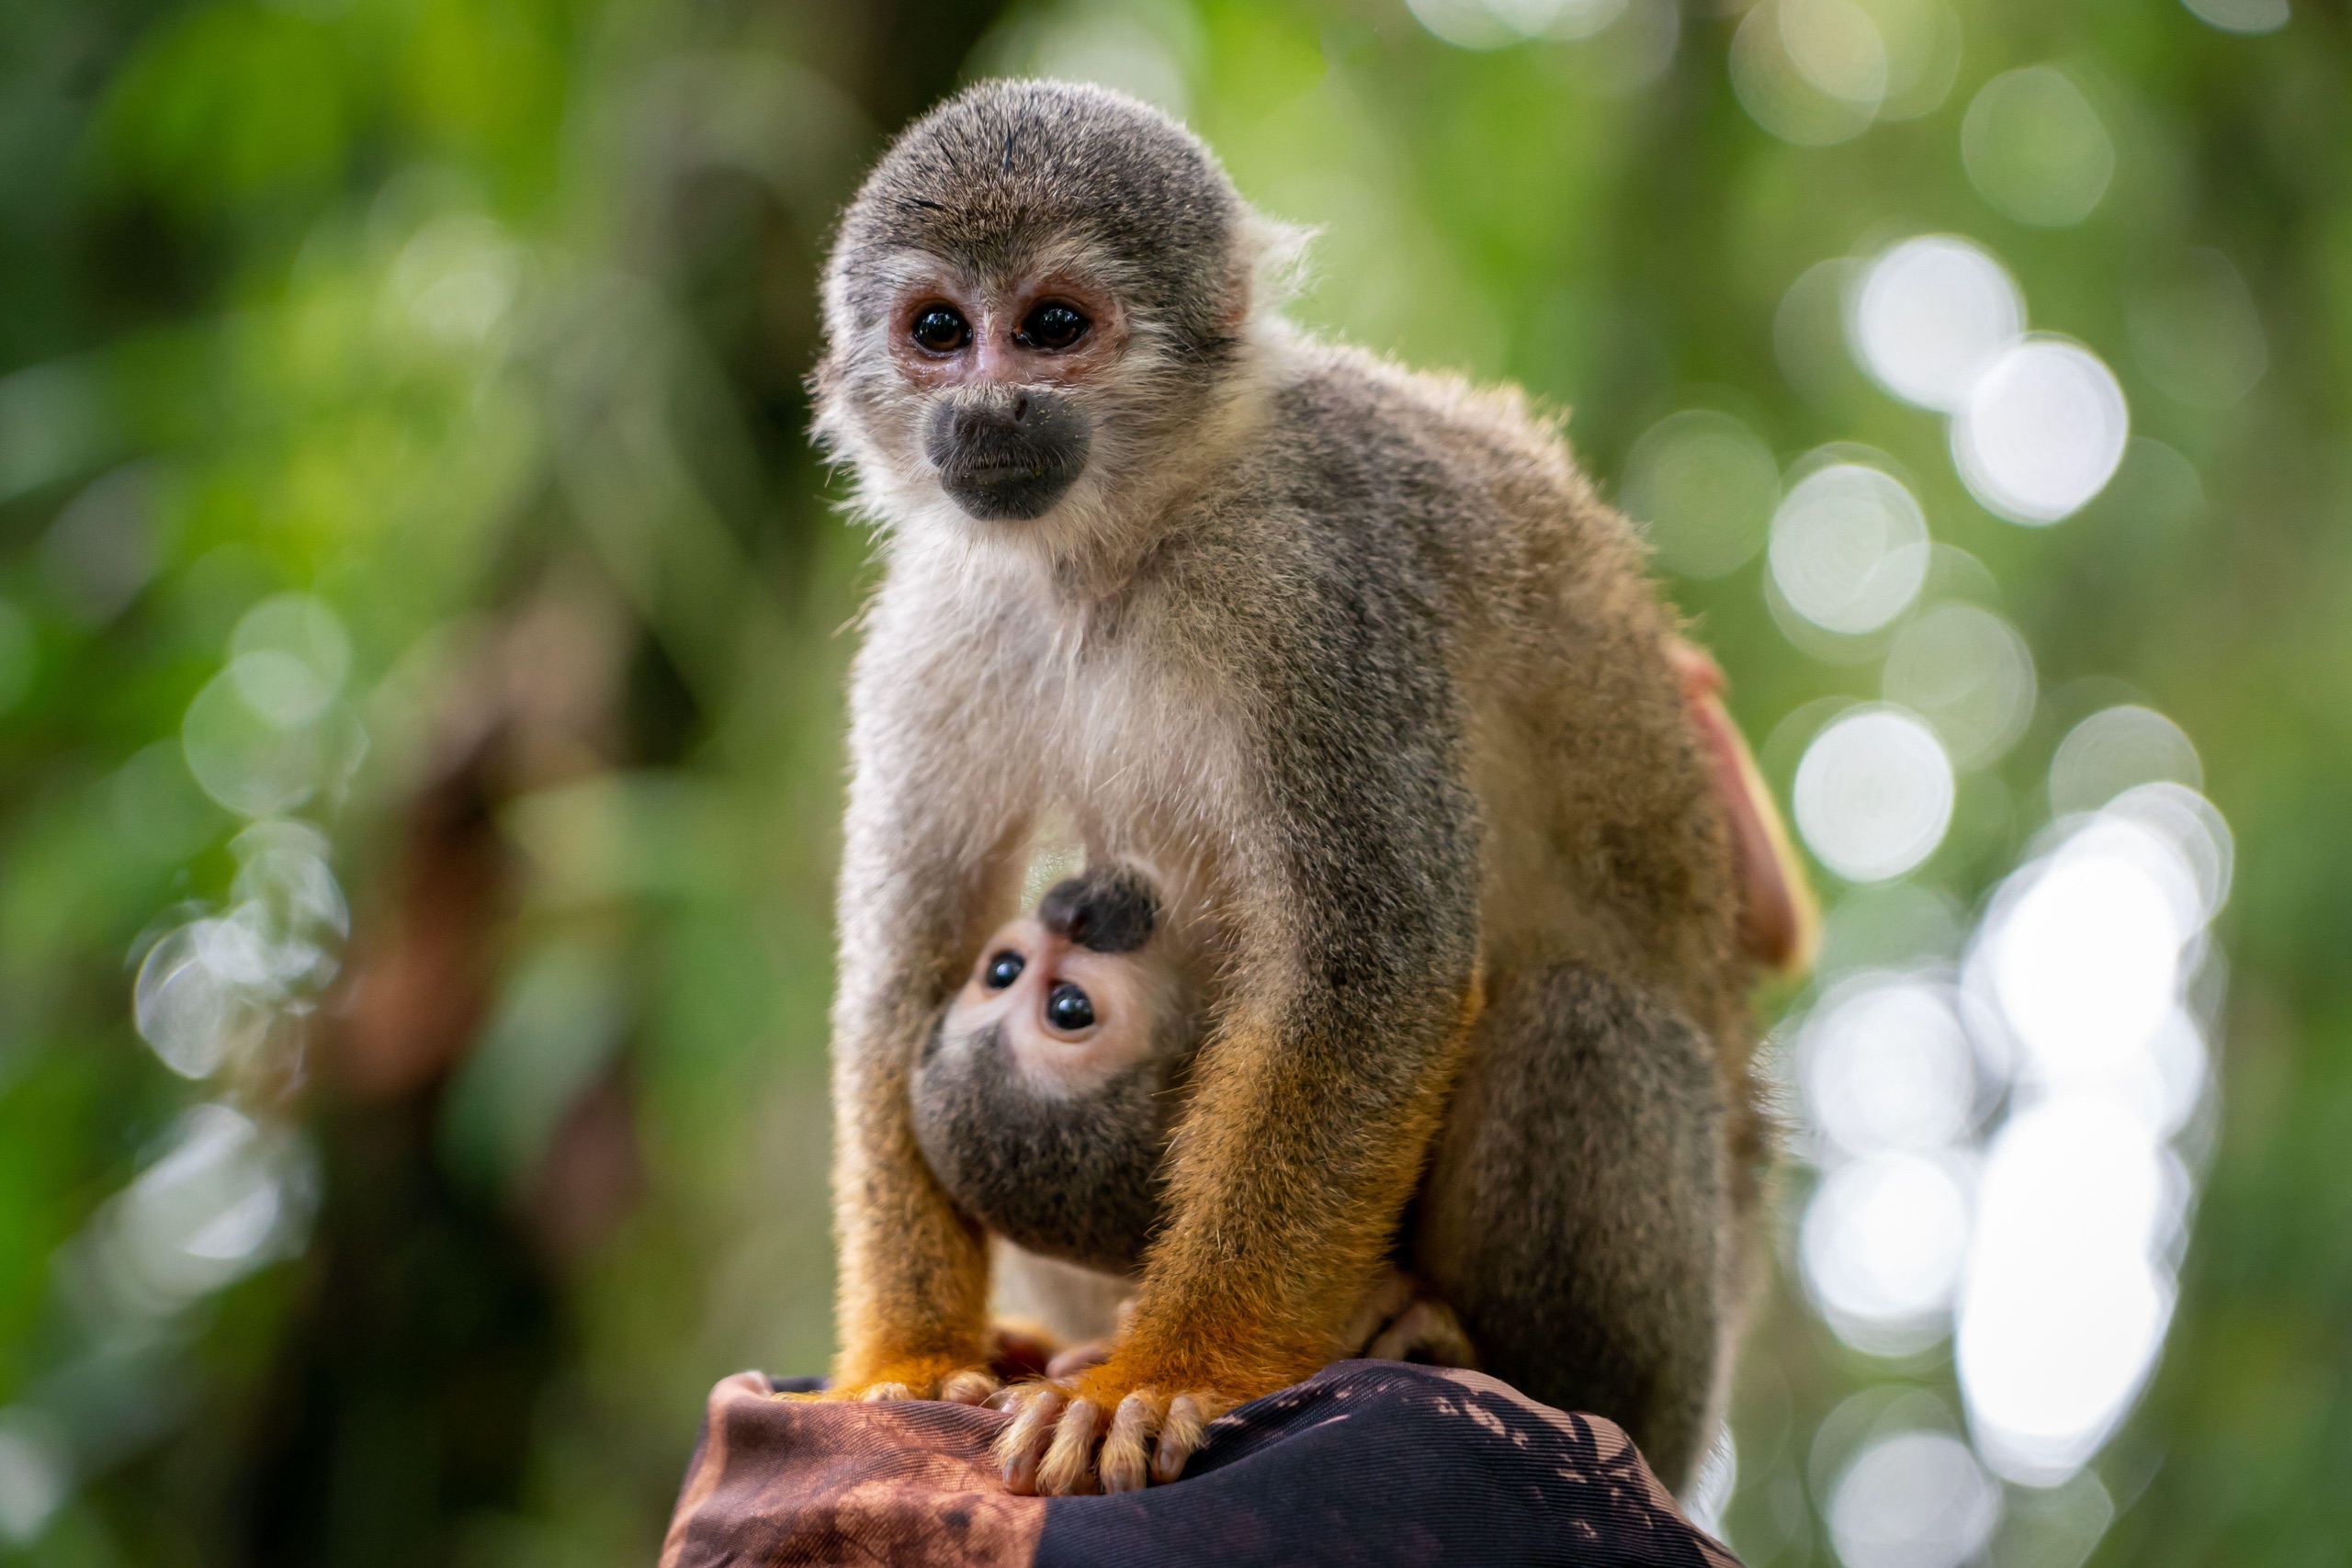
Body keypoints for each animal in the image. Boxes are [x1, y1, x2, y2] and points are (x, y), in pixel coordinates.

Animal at [799, 80, 1806, 1504]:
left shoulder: (1318, 579)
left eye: (1052, 327)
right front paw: (912, 1359)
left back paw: (1502, 1363)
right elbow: (906, 972)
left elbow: (1373, 966)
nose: (988, 411)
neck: (1115, 544)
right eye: (938, 331)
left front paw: (1165, 1374)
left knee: (1583, 1023)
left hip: (1681, 1359)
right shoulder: (941, 617)